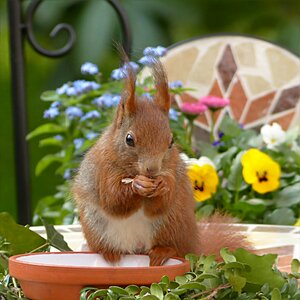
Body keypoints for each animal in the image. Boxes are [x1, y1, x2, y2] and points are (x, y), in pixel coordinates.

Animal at [73, 59, 251, 266]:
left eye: (171, 141)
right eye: (129, 139)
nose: (152, 169)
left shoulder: (172, 169)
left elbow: (162, 201)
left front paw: (163, 185)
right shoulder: (103, 168)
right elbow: (113, 199)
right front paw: (137, 185)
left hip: (172, 223)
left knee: (172, 245)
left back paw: (162, 252)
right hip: (96, 225)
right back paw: (109, 253)